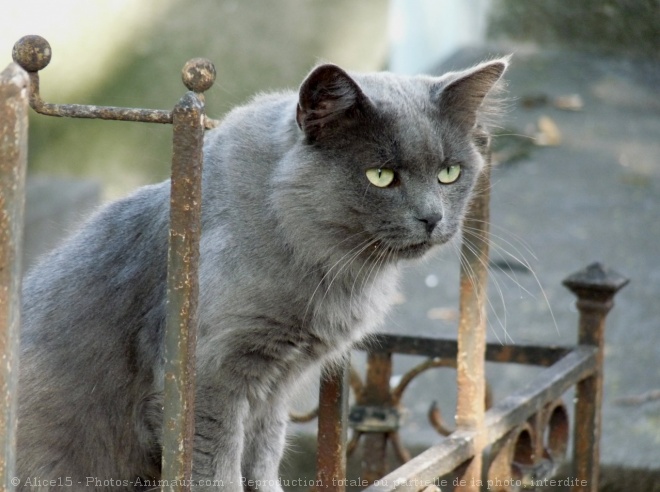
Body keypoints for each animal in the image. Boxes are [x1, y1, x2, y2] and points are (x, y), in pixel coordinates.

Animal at [18, 56, 508, 488]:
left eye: (449, 172)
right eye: (381, 176)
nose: (432, 218)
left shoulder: (275, 388)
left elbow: (262, 459)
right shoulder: (212, 378)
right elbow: (218, 472)